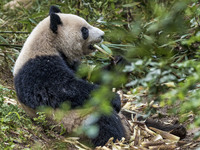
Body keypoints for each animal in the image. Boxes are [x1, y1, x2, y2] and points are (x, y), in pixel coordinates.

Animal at [12, 5, 128, 146]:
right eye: (84, 30)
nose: (102, 35)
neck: (50, 42)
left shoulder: (70, 62)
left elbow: (90, 76)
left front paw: (118, 63)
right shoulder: (37, 68)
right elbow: (63, 90)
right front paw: (115, 98)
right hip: (73, 121)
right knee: (105, 119)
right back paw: (114, 139)